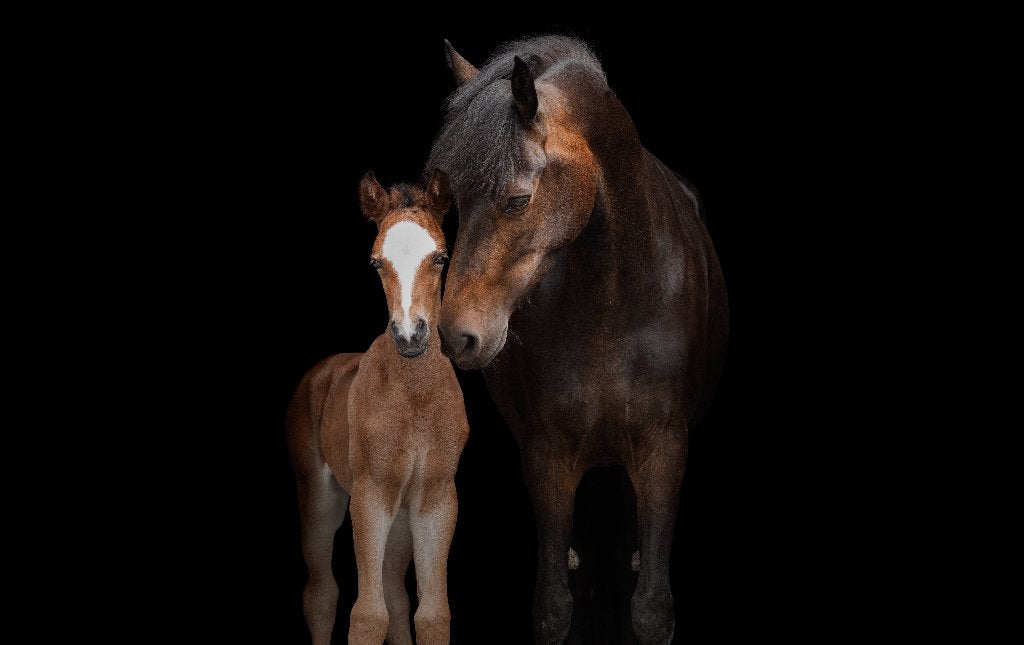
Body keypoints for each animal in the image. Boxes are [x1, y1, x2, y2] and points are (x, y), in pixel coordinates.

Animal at [286, 169, 469, 645]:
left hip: (401, 517)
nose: (409, 336)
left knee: (393, 590)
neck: (415, 403)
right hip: (320, 496)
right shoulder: (369, 495)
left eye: (441, 257)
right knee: (321, 593)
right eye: (375, 263)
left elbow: (432, 614)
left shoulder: (436, 498)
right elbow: (367, 614)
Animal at [429, 36, 729, 644]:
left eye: (517, 200)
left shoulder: (664, 447)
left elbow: (651, 611)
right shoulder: (547, 452)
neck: (611, 309)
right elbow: (552, 609)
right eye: (456, 203)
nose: (457, 335)